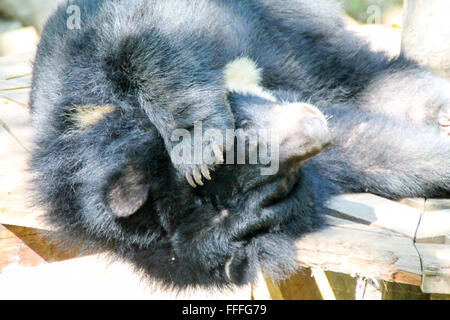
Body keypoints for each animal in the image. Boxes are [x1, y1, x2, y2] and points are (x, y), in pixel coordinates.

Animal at [29, 0, 450, 290]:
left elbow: (148, 39)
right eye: (273, 188)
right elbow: (370, 149)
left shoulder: (89, 58)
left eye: (242, 131)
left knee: (351, 67)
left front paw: (197, 147)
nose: (314, 132)